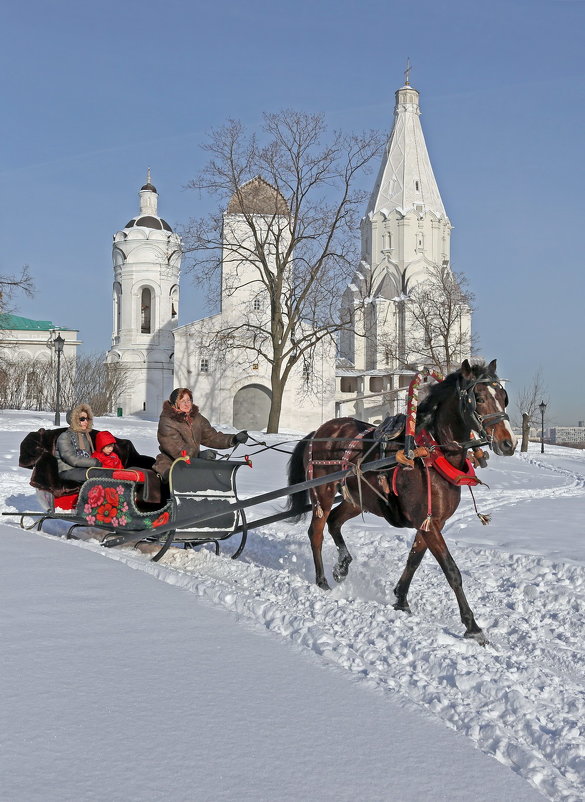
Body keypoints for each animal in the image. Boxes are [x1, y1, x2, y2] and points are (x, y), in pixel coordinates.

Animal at [288, 360, 516, 640]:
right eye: (479, 398)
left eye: (504, 397)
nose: (508, 443)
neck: (430, 452)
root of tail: (321, 430)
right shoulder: (428, 523)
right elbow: (452, 570)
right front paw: (472, 626)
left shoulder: (431, 522)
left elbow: (413, 560)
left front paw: (400, 600)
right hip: (323, 492)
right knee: (317, 532)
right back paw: (322, 581)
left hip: (357, 499)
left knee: (334, 522)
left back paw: (342, 566)